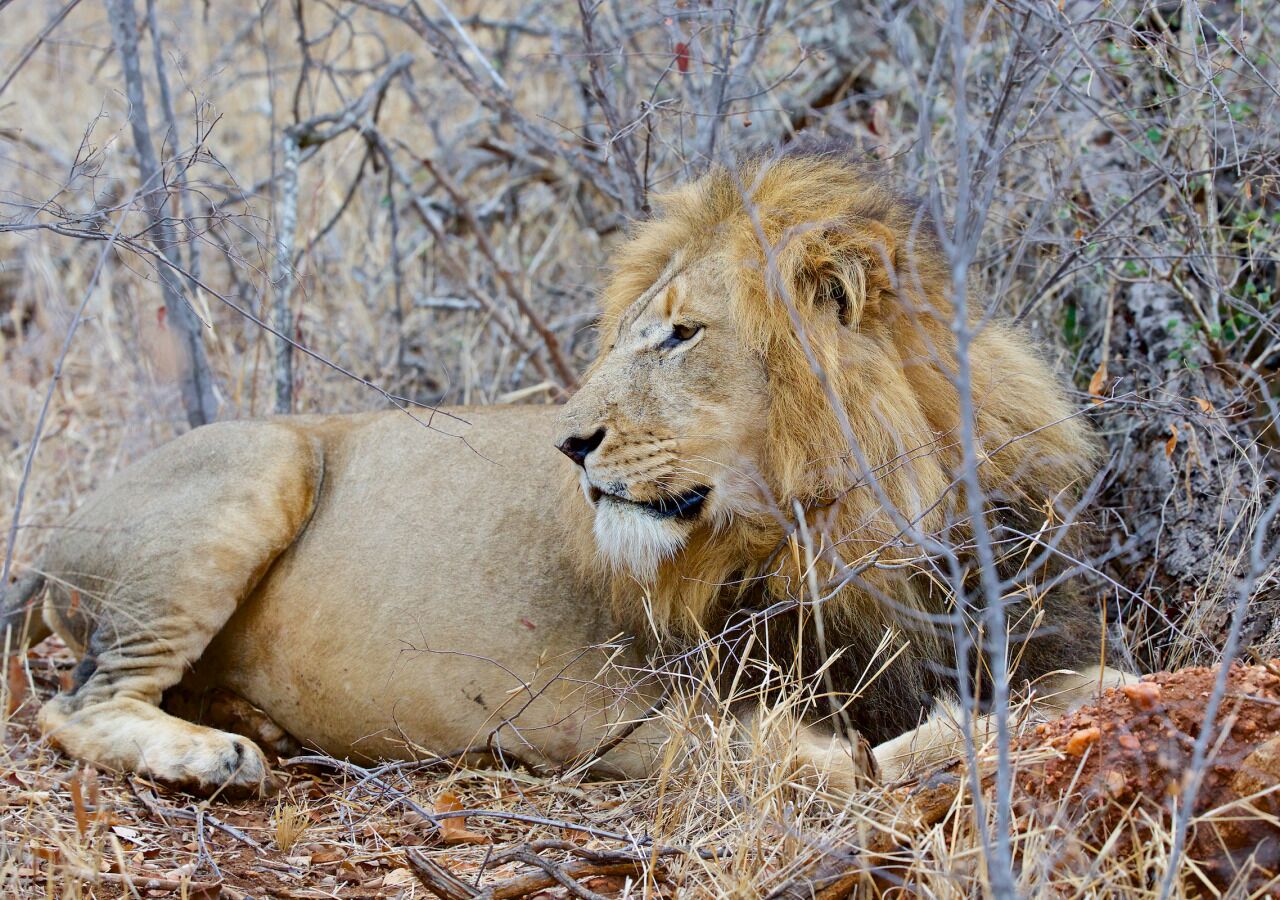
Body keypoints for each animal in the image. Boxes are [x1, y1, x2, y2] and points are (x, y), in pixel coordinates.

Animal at [1, 149, 1131, 797]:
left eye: (679, 335)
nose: (570, 442)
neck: (853, 527)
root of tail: (52, 544)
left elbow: (1095, 685)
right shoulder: (630, 716)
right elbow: (820, 757)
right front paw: (917, 745)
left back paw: (246, 724)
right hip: (257, 463)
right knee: (78, 701)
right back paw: (213, 757)